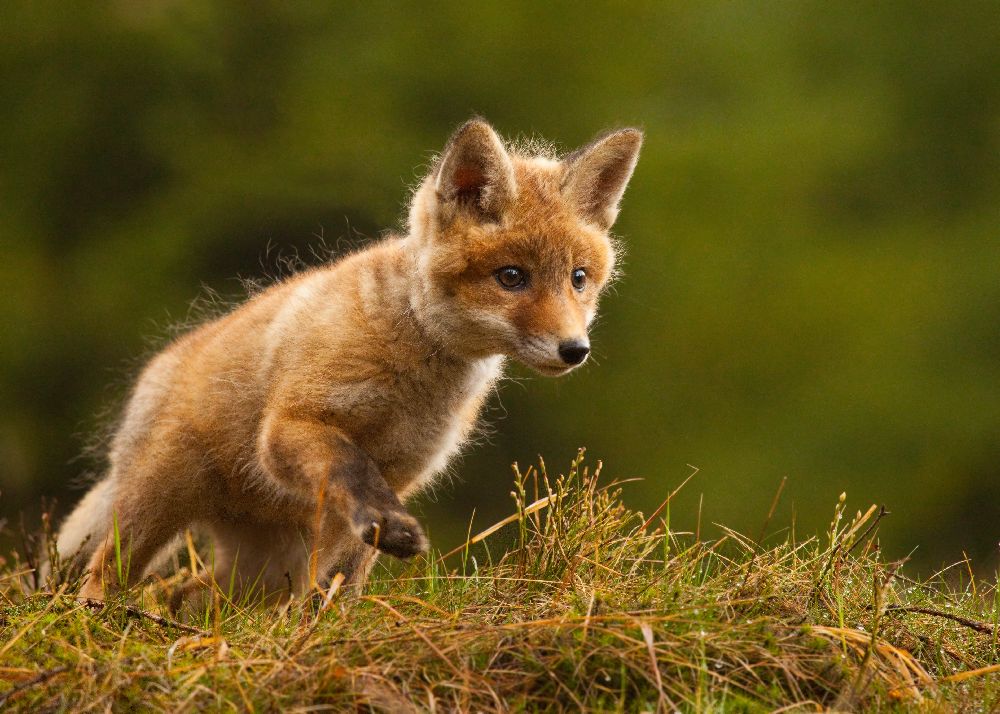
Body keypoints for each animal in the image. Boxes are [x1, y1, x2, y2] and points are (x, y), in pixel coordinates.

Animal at [56, 118, 643, 602]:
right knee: (103, 574)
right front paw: (392, 530)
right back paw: (96, 617)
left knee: (181, 594)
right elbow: (350, 466)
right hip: (158, 505)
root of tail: (156, 372)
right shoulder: (293, 428)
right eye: (512, 277)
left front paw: (323, 629)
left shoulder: (401, 472)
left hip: (262, 572)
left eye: (579, 278)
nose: (575, 350)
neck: (414, 376)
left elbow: (341, 576)